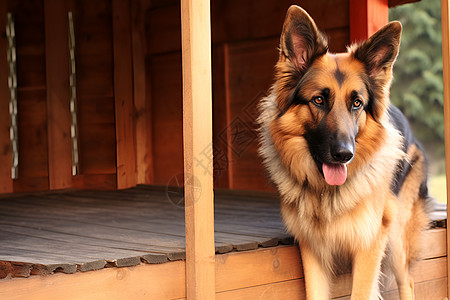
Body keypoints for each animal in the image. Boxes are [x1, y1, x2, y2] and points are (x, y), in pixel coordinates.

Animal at [258, 5, 430, 300]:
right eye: (318, 100)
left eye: (357, 103)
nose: (344, 155)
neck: (327, 194)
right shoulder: (312, 249)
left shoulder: (368, 246)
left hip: (396, 237)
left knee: (407, 282)